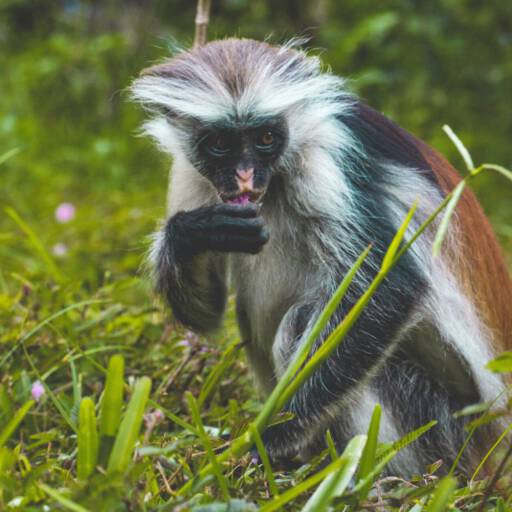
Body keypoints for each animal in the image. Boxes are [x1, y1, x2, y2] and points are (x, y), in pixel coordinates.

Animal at [132, 39, 512, 476]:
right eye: (220, 144)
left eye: (266, 137)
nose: (245, 176)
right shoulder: (190, 171)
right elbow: (204, 315)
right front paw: (196, 233)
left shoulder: (329, 157)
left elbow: (390, 290)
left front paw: (275, 436)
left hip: (439, 427)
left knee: (302, 322)